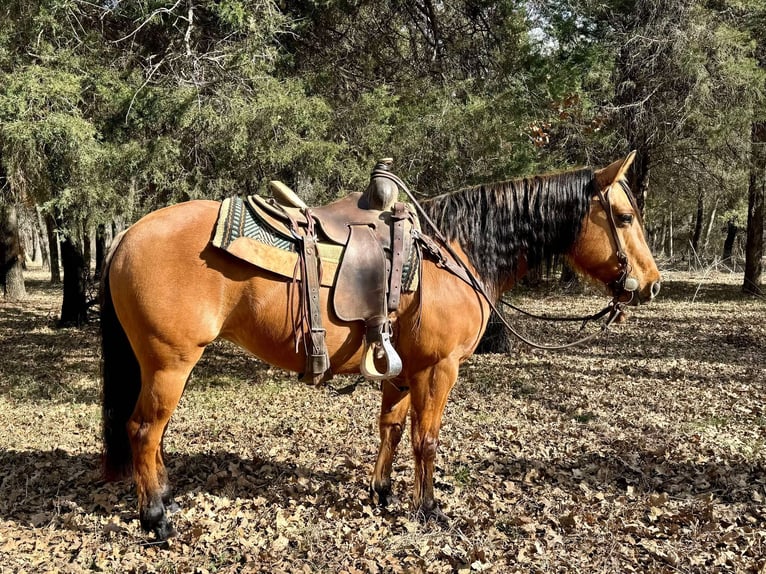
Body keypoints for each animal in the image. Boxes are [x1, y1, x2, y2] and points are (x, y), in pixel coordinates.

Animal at [100, 152, 661, 539]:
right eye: (624, 217)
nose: (652, 284)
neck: (452, 254)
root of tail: (126, 235)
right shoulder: (438, 368)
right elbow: (426, 440)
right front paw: (429, 509)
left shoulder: (402, 370)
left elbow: (390, 429)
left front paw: (383, 494)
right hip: (170, 363)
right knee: (144, 430)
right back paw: (157, 518)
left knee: (153, 435)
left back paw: (165, 497)